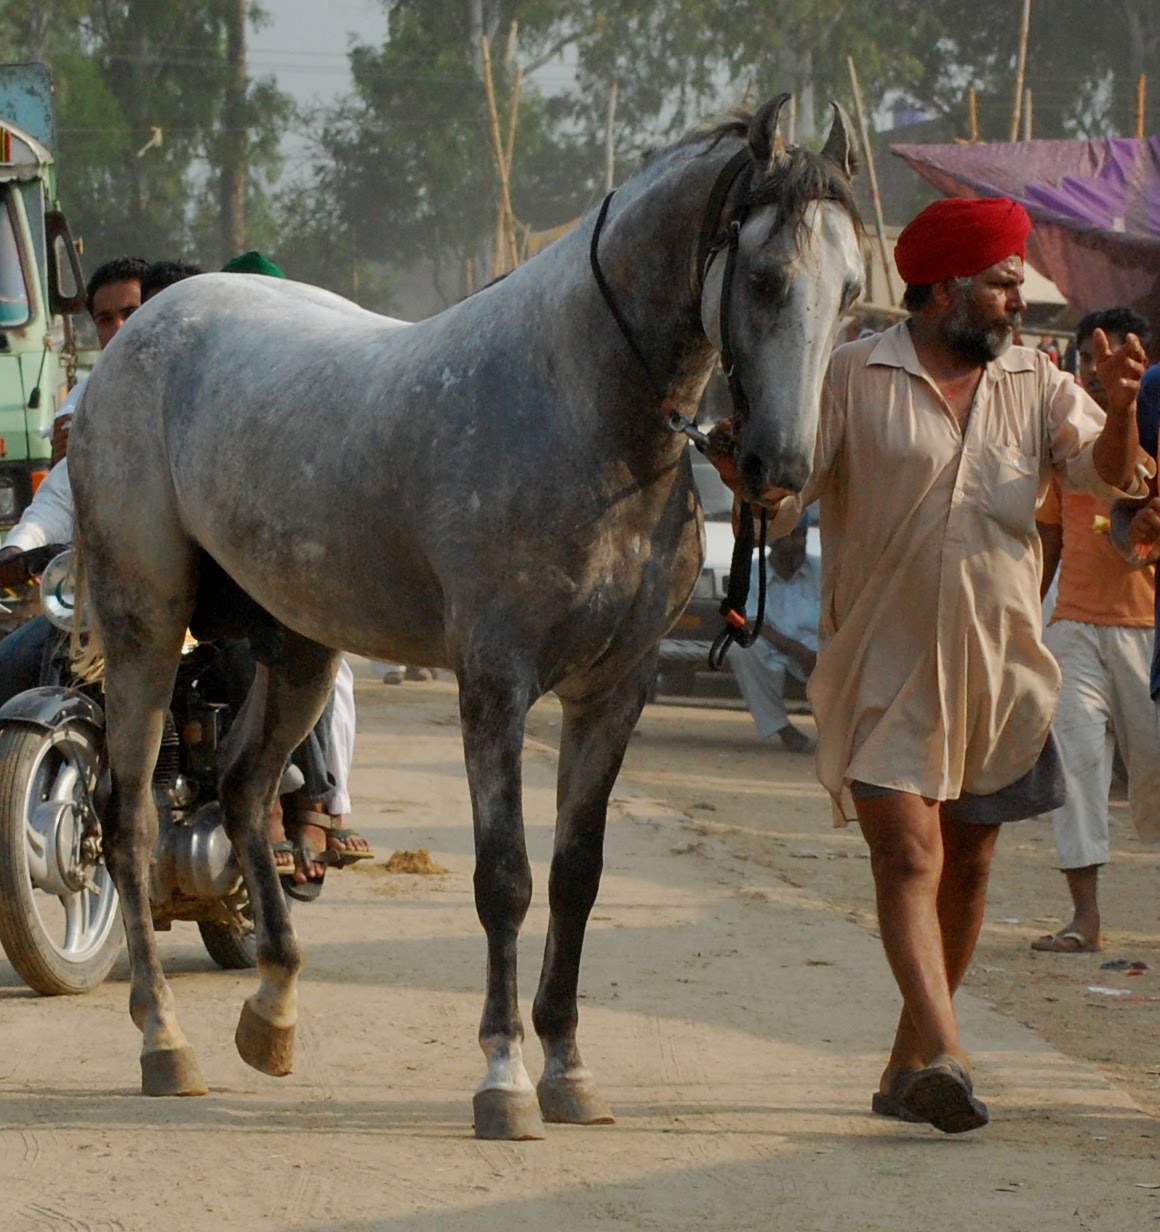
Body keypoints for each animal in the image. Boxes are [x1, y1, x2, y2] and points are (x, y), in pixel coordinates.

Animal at [68, 93, 864, 1140]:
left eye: (851, 291)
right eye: (767, 279)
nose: (780, 468)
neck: (581, 411)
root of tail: (139, 336)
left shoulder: (615, 689)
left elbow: (576, 877)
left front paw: (569, 1070)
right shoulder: (495, 683)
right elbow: (507, 880)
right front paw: (503, 1079)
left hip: (302, 644)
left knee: (241, 791)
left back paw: (273, 1013)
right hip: (147, 628)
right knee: (128, 819)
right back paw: (166, 1042)